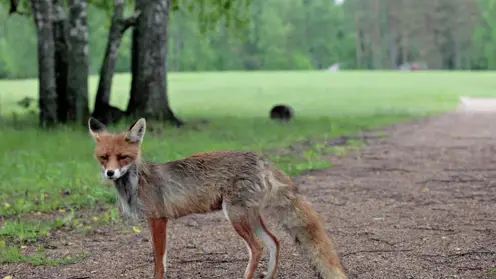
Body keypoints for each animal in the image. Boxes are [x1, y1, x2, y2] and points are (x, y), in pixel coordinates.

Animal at [87, 118, 346, 279]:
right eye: (103, 158)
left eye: (122, 157)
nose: (110, 173)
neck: (137, 183)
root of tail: (262, 159)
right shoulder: (156, 222)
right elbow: (161, 259)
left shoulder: (158, 220)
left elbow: (159, 262)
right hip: (250, 217)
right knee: (274, 242)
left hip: (235, 216)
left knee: (258, 247)